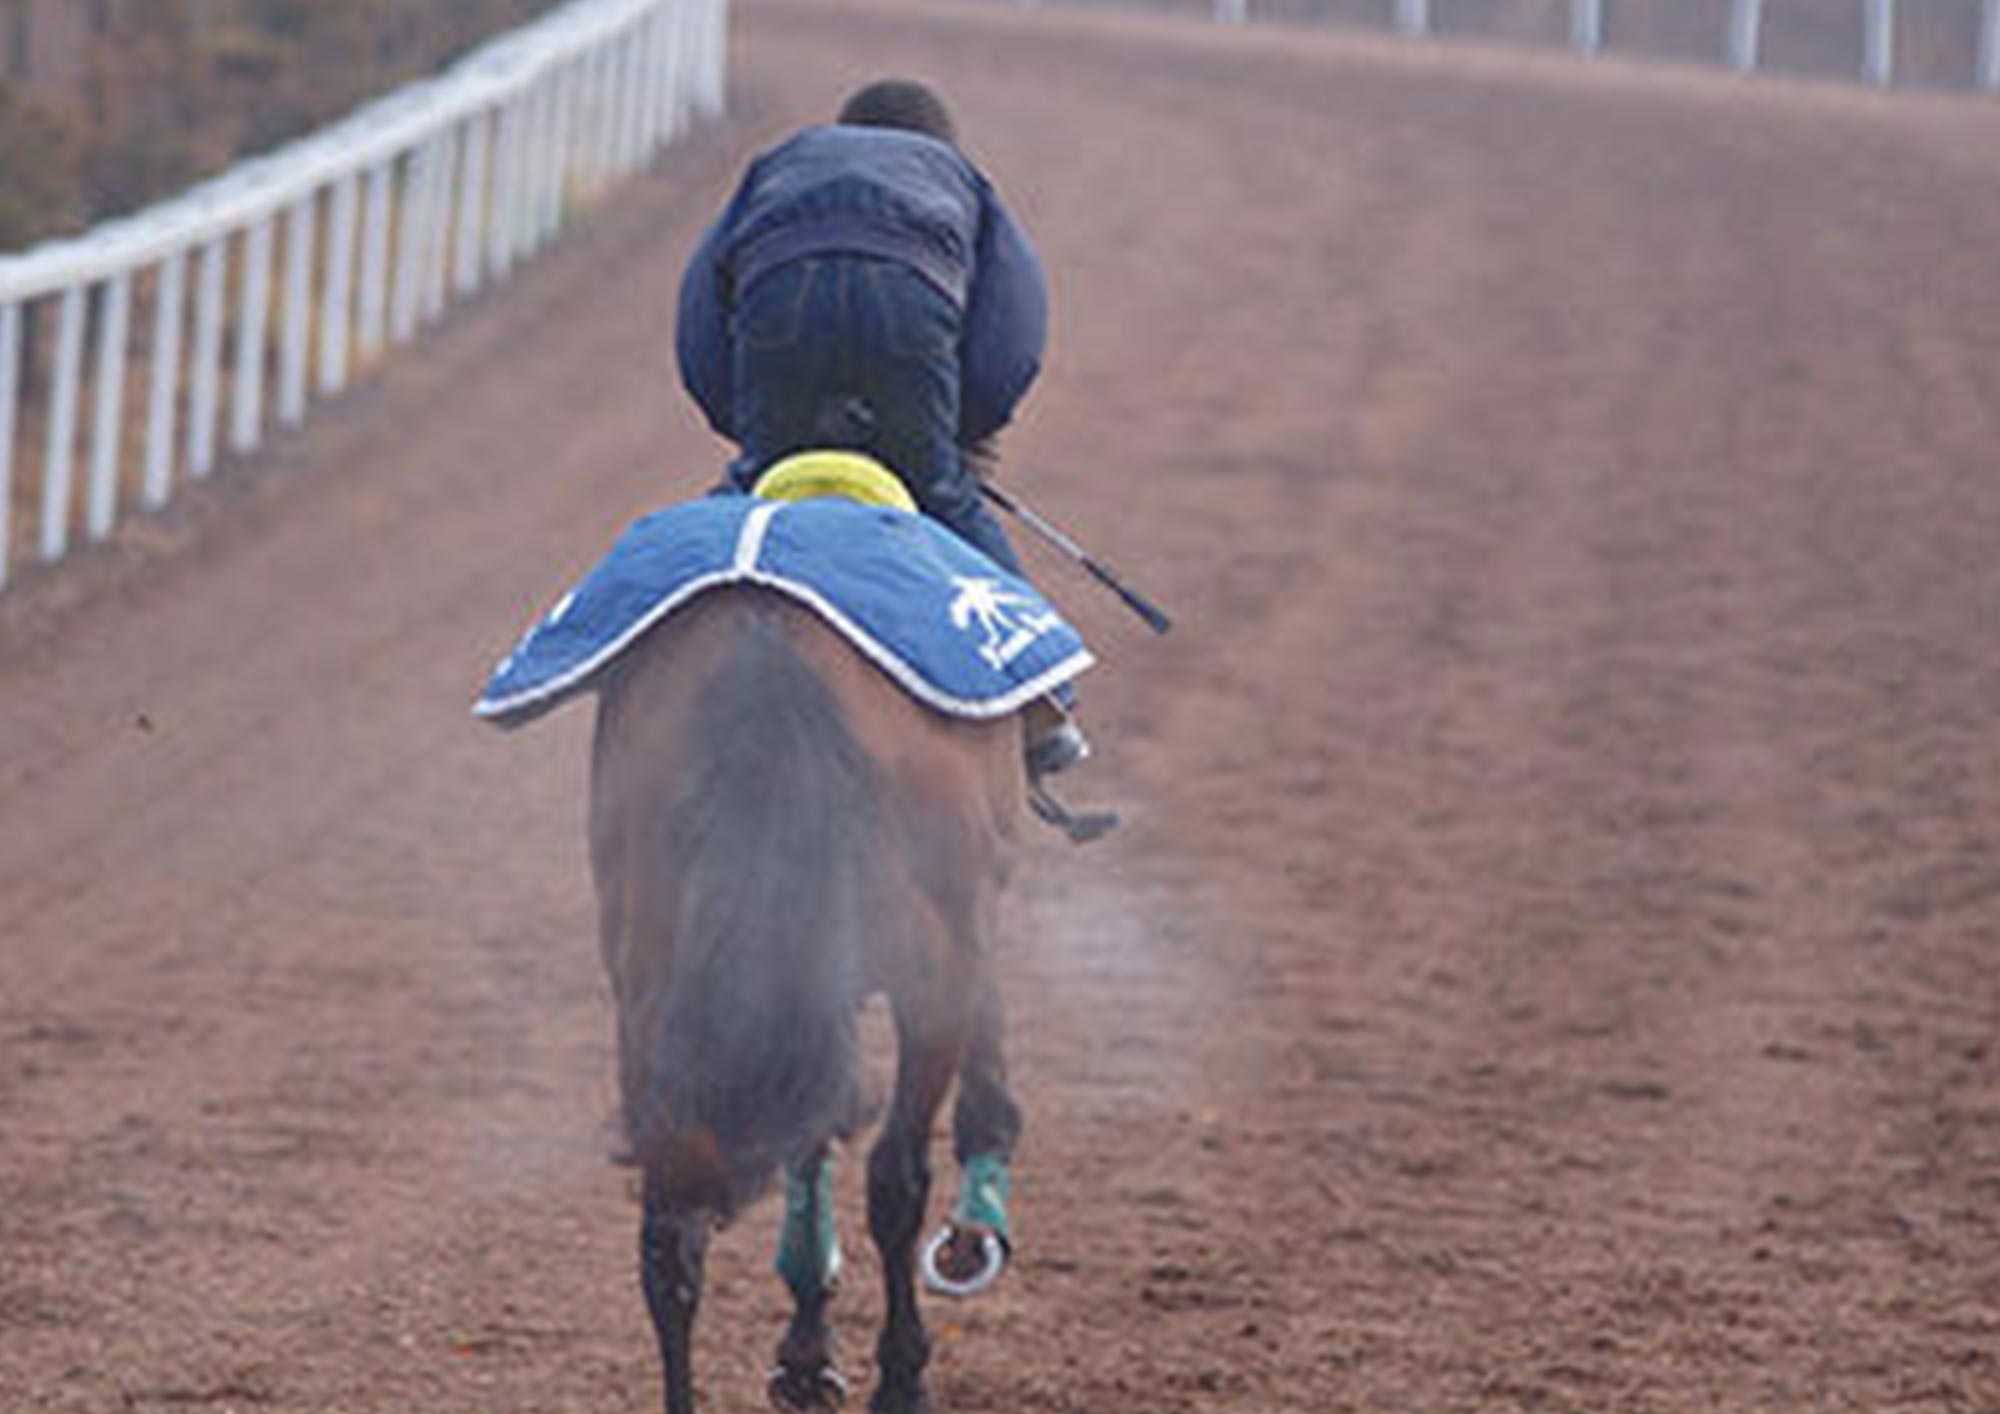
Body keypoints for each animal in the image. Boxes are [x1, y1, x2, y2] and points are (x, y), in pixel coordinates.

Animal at [584, 580, 1032, 1408]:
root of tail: (767, 642)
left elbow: (806, 1143)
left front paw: (805, 1350)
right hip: (932, 967)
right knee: (896, 1178)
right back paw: (903, 1371)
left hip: (649, 990)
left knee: (669, 1228)